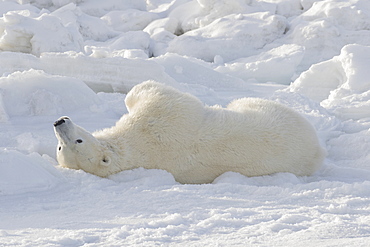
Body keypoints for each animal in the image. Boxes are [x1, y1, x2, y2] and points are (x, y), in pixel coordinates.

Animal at [53, 80, 326, 183]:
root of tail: (317, 151)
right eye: (74, 143)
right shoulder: (157, 122)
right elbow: (159, 94)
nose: (59, 121)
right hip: (269, 111)